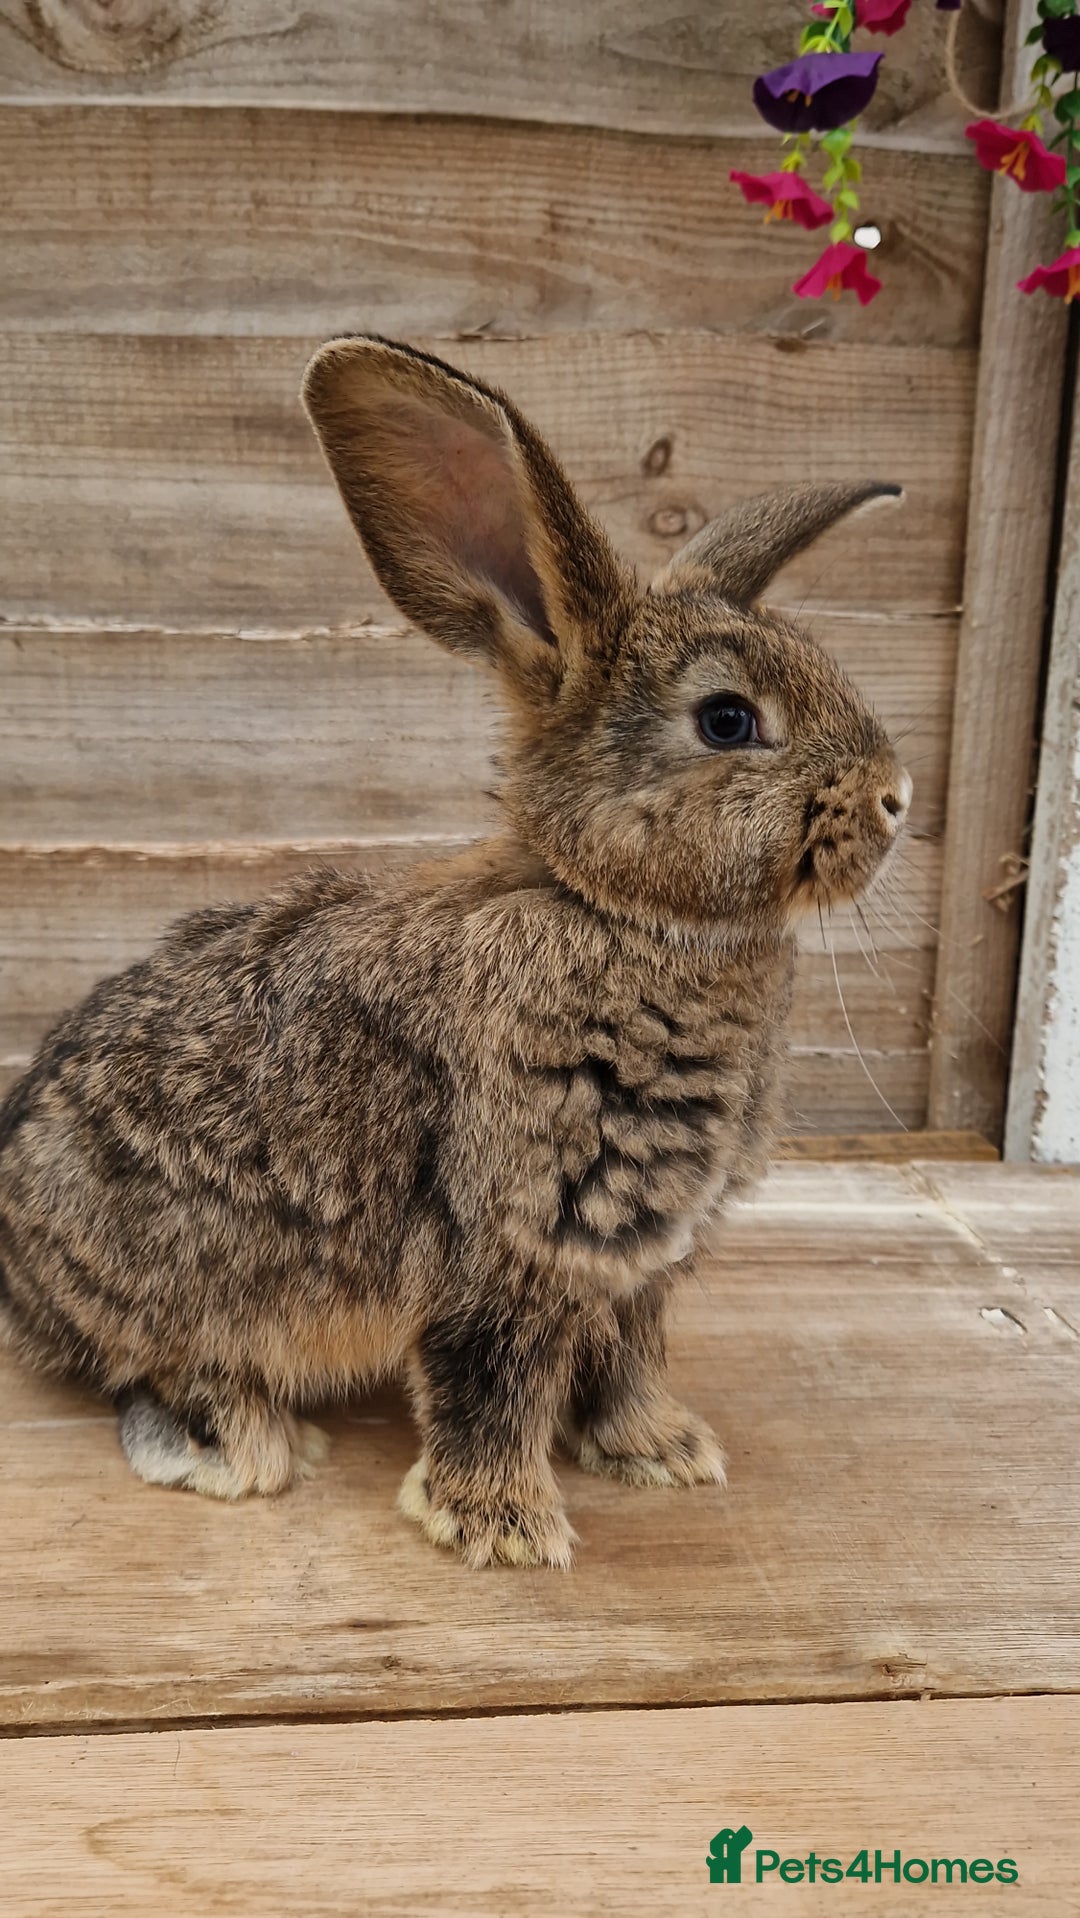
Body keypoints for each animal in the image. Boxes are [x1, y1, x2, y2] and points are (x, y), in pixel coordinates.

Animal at [0, 336, 911, 1568]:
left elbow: (628, 1356)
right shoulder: (511, 1240)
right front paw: (504, 1528)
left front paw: (664, 1452)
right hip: (177, 1280)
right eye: (728, 720)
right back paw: (246, 1445)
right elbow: (493, 1383)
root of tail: (17, 1268)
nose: (899, 796)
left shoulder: (638, 1263)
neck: (611, 906)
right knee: (151, 1370)